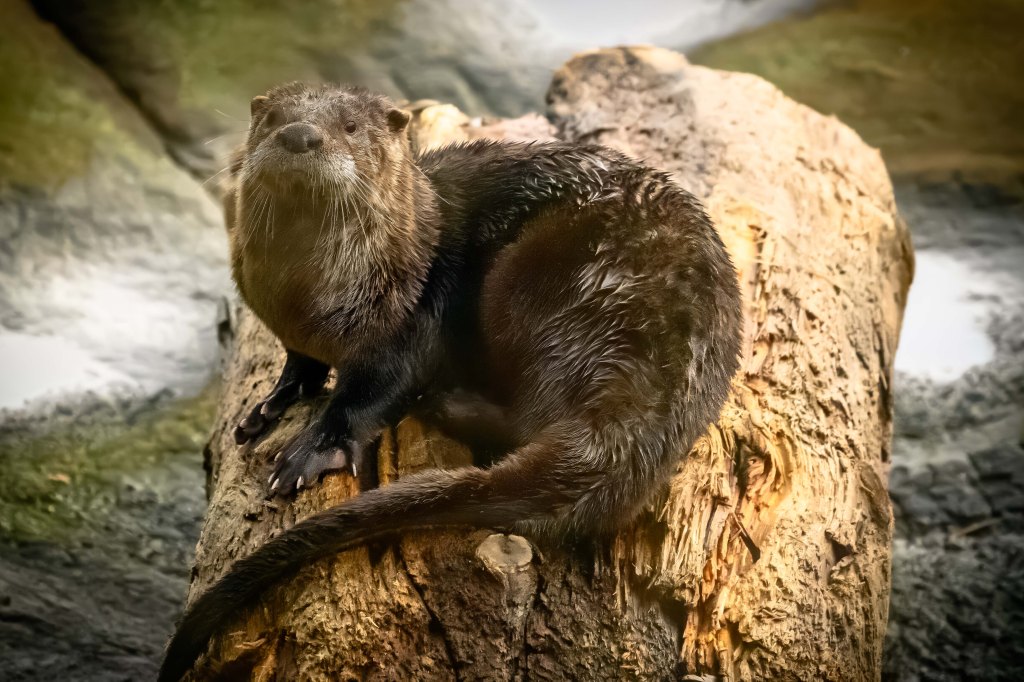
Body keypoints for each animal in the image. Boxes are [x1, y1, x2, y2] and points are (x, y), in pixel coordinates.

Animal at [159, 82, 742, 681]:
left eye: (349, 126)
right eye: (273, 117)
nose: (300, 134)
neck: (309, 304)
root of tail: (649, 390)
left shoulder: (412, 317)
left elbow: (373, 390)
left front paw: (312, 449)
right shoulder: (287, 328)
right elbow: (301, 365)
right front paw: (268, 406)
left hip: (534, 287)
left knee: (524, 414)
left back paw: (443, 404)